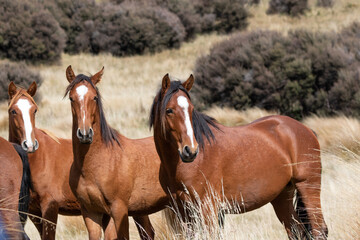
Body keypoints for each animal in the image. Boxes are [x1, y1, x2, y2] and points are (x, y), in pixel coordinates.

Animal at [8, 81, 117, 239]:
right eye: (13, 111)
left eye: (34, 110)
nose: (29, 144)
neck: (38, 160)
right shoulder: (34, 212)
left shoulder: (50, 208)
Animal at [149, 74, 330, 239]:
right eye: (169, 110)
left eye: (192, 110)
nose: (190, 151)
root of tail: (306, 129)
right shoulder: (183, 212)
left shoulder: (208, 208)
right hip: (282, 196)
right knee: (296, 230)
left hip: (308, 187)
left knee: (319, 229)